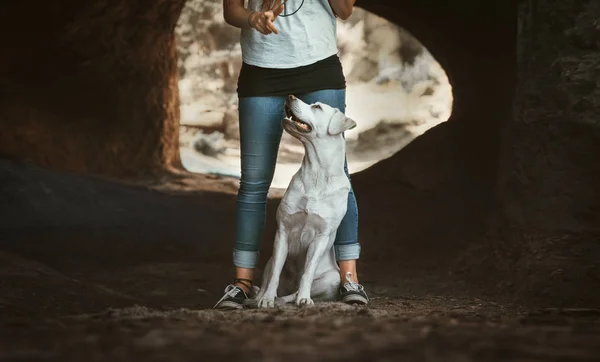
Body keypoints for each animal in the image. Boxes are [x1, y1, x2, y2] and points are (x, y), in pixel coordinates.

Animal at [252, 94, 356, 308]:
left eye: (317, 107)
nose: (289, 95)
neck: (317, 172)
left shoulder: (321, 237)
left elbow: (307, 273)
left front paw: (305, 299)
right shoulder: (282, 232)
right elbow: (274, 276)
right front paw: (266, 299)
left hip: (333, 278)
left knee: (293, 292)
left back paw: (295, 297)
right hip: (269, 260)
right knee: (269, 281)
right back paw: (259, 298)